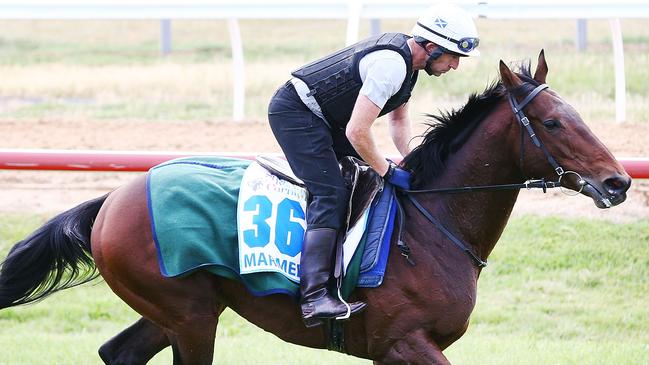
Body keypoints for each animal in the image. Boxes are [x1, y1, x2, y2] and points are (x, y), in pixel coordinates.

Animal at [0, 49, 628, 362]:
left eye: (578, 115)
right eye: (553, 122)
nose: (619, 181)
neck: (432, 227)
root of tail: (113, 198)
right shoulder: (405, 344)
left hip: (180, 311)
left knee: (120, 352)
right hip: (189, 317)